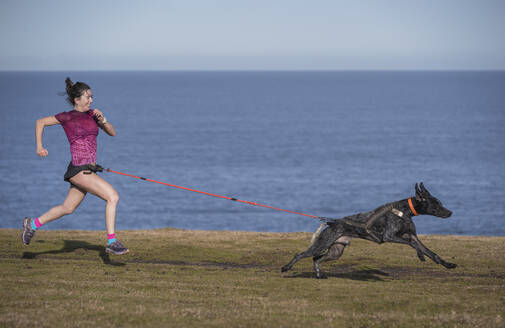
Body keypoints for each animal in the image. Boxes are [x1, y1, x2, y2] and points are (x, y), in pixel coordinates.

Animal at [282, 183, 454, 278]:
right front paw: (420, 255)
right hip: (322, 245)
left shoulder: (413, 236)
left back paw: (318, 275)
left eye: (439, 202)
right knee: (301, 255)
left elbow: (431, 252)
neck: (404, 211)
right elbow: (412, 245)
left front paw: (447, 264)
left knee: (316, 259)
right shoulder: (389, 236)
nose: (450, 213)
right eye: (435, 204)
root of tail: (330, 223)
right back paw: (286, 268)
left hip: (336, 251)